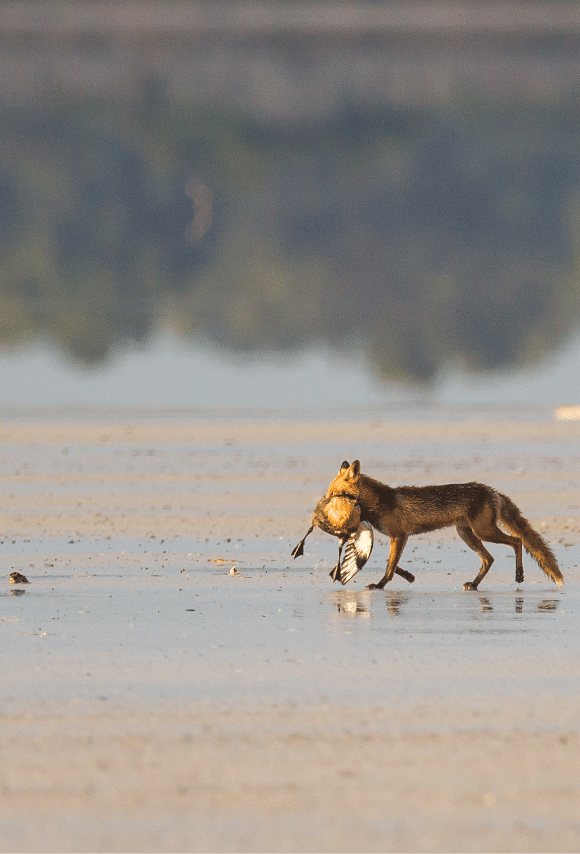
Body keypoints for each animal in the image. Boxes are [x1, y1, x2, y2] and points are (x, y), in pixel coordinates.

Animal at [324, 458, 564, 592]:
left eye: (333, 493)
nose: (323, 504)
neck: (380, 502)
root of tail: (492, 491)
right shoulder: (398, 538)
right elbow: (392, 563)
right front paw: (408, 576)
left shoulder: (400, 535)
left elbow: (389, 566)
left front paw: (381, 585)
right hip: (467, 534)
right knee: (489, 559)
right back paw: (474, 585)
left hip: (483, 532)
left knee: (517, 541)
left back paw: (519, 575)